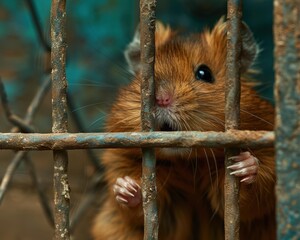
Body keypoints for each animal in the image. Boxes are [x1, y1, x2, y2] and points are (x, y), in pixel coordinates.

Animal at [92, 19, 276, 240]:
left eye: (204, 73)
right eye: (144, 78)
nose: (161, 99)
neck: (188, 163)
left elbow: (248, 199)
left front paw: (243, 165)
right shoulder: (122, 163)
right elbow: (141, 211)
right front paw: (126, 188)